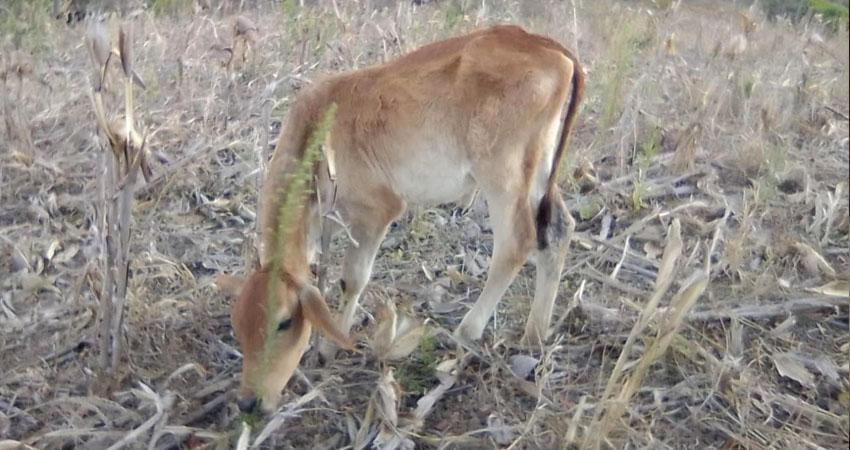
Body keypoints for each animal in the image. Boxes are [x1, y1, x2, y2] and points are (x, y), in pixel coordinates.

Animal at [217, 22, 584, 414]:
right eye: (238, 324)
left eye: (284, 323)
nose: (249, 403)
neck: (318, 131)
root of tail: (544, 45)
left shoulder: (377, 211)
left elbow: (352, 279)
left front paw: (329, 349)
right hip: (539, 172)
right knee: (558, 231)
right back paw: (534, 335)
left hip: (502, 175)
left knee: (518, 242)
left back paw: (468, 330)